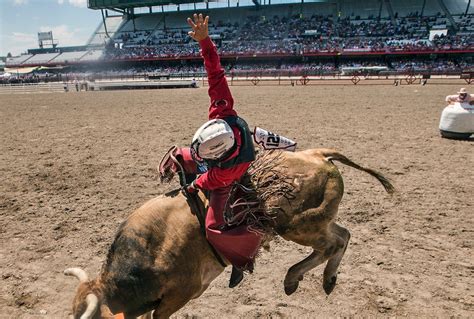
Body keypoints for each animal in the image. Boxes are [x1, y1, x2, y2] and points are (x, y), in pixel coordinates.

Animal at [65, 149, 394, 318]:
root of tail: (317, 154)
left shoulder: (179, 295)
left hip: (297, 224)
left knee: (332, 244)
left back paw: (297, 278)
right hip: (318, 221)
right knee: (343, 235)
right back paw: (323, 279)